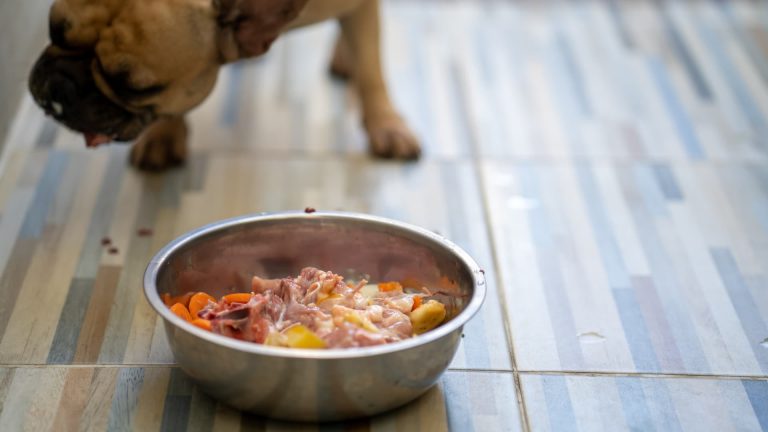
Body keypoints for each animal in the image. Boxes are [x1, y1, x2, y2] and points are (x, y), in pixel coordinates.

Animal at [28, 0, 420, 169]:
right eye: (53, 28)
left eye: (135, 88)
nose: (61, 87)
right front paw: (164, 136)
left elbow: (371, 69)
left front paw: (386, 125)